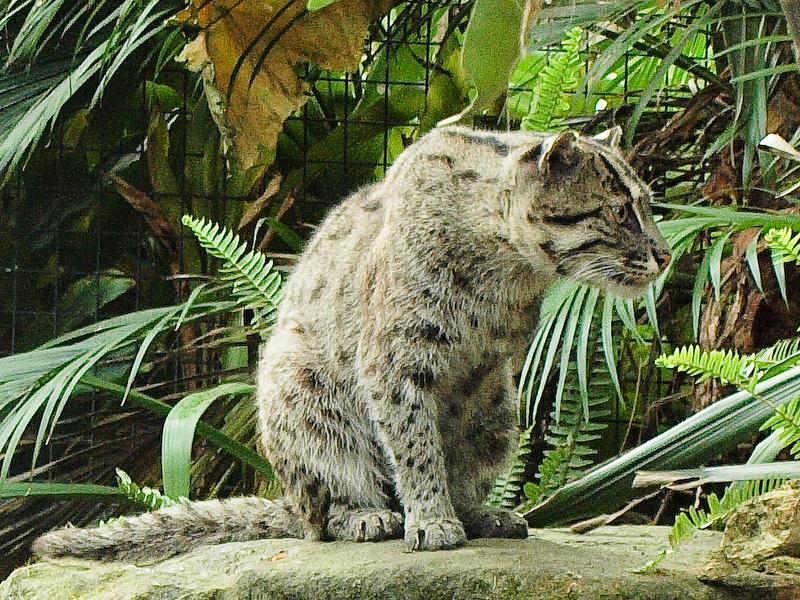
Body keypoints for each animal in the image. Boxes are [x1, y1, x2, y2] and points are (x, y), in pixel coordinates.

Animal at [31, 124, 668, 560]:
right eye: (620, 211)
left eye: (647, 204)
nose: (664, 254)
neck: (507, 267)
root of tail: (287, 503)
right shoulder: (395, 360)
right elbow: (416, 445)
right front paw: (431, 520)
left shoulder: (482, 374)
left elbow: (449, 452)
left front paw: (454, 511)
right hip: (300, 390)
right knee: (321, 515)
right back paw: (365, 516)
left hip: (500, 412)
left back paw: (482, 513)